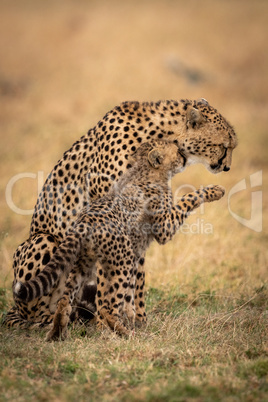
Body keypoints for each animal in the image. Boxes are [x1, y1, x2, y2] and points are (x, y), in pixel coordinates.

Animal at [3, 99, 237, 328]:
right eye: (223, 146)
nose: (226, 167)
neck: (160, 133)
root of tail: (15, 310)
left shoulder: (138, 225)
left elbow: (136, 274)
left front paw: (138, 319)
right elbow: (112, 279)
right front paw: (109, 322)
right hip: (43, 241)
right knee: (37, 312)